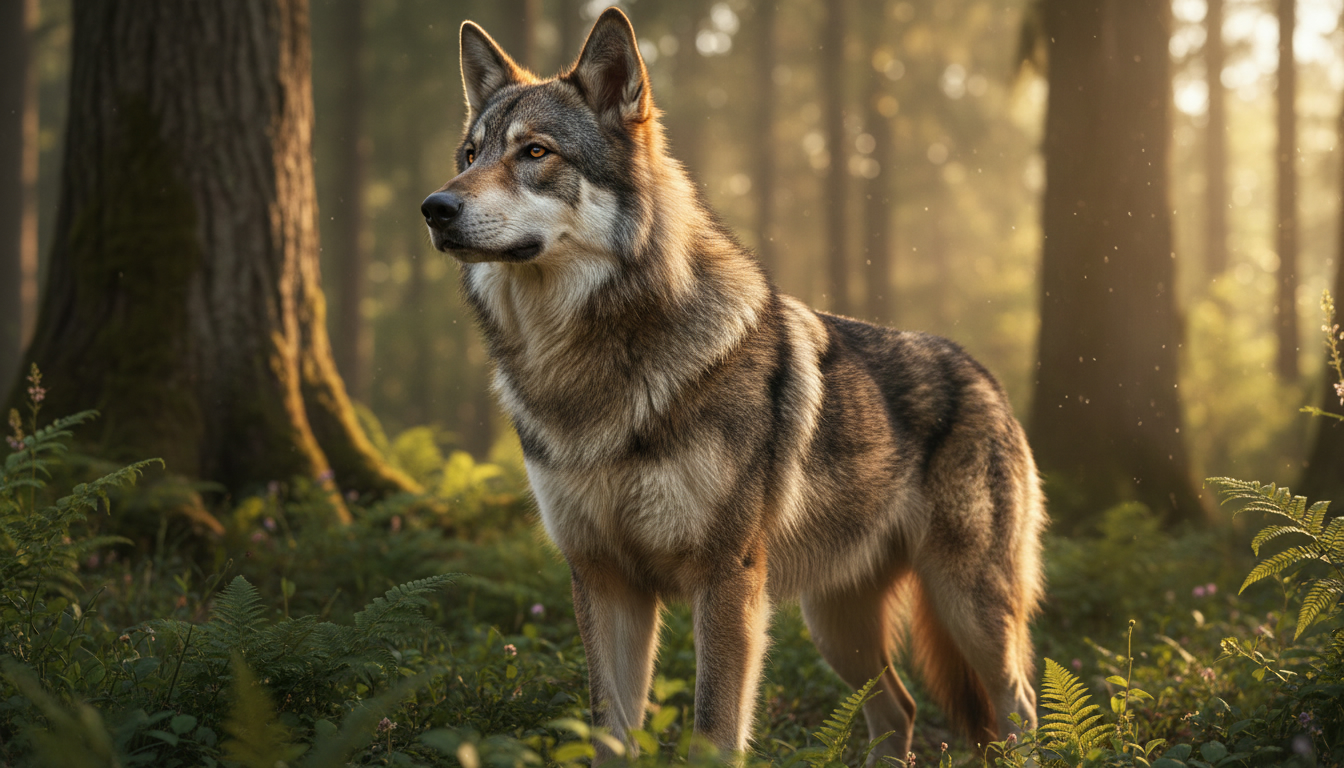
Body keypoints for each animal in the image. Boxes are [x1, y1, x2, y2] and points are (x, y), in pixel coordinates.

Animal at [421, 8, 1045, 762]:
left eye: (535, 152)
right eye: (469, 154)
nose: (433, 207)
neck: (588, 366)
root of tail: (984, 375)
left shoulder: (725, 580)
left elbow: (714, 730)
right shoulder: (602, 579)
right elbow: (611, 730)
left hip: (966, 605)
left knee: (1020, 703)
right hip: (835, 624)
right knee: (901, 710)